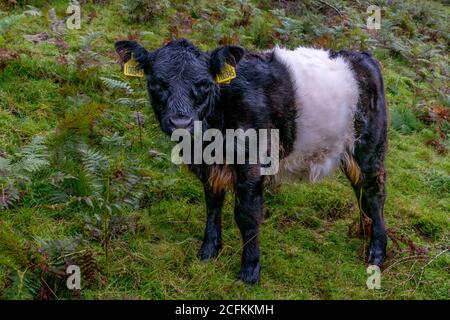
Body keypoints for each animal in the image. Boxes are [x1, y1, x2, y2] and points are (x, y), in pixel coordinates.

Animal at [115, 38, 386, 284]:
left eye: (204, 83)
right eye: (156, 82)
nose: (181, 122)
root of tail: (361, 56)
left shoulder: (251, 164)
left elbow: (246, 215)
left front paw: (249, 270)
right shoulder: (210, 166)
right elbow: (213, 205)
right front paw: (208, 251)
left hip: (370, 147)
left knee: (374, 192)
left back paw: (376, 250)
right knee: (360, 189)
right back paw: (363, 232)